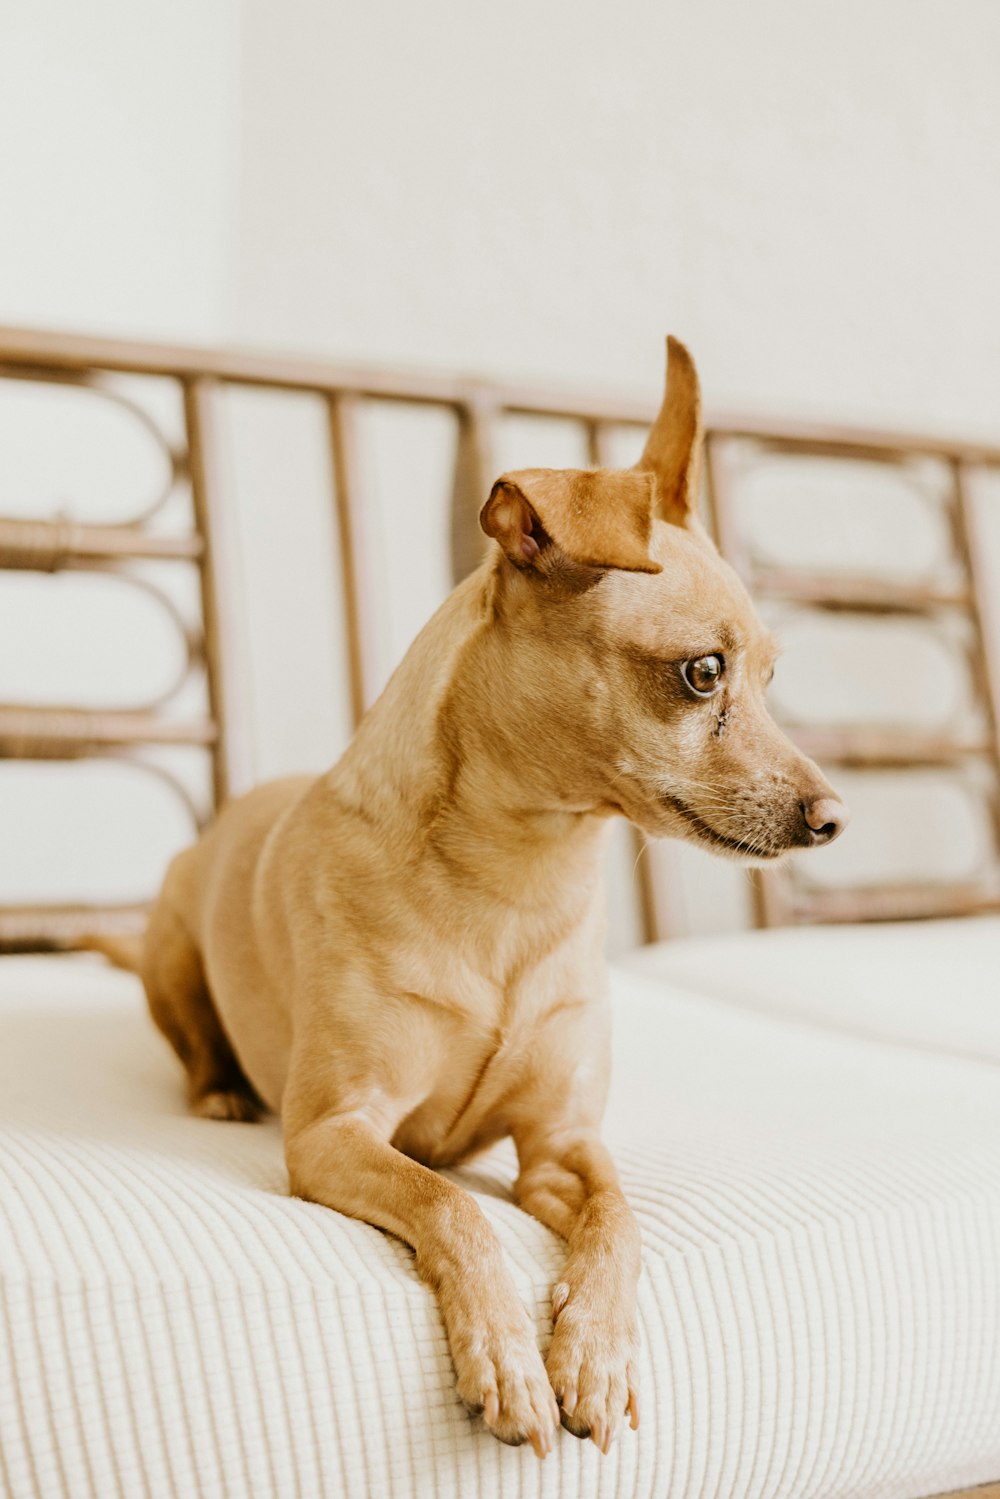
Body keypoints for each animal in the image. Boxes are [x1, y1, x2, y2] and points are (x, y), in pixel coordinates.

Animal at [137, 337, 851, 1451]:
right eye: (702, 673)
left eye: (773, 678)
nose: (833, 818)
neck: (523, 877)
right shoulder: (334, 1133)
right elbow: (452, 1205)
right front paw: (507, 1356)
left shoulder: (563, 1145)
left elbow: (622, 1218)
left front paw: (592, 1349)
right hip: (168, 943)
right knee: (193, 1036)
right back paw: (216, 1086)